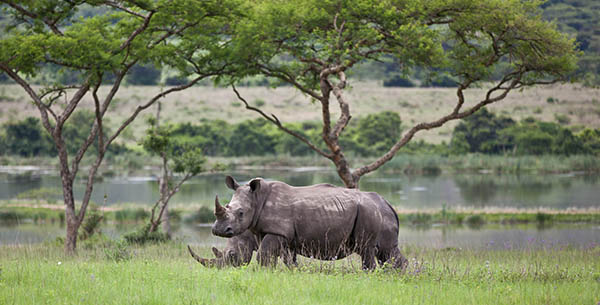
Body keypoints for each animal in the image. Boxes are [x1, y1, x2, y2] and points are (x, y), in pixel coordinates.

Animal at [209, 176, 406, 268]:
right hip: (377, 214)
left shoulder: (277, 231)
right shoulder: (277, 235)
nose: (219, 230)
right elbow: (287, 260)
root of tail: (387, 204)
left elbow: (265, 255)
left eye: (241, 213)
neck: (257, 199)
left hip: (368, 212)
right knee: (387, 251)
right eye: (227, 206)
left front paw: (264, 273)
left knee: (368, 249)